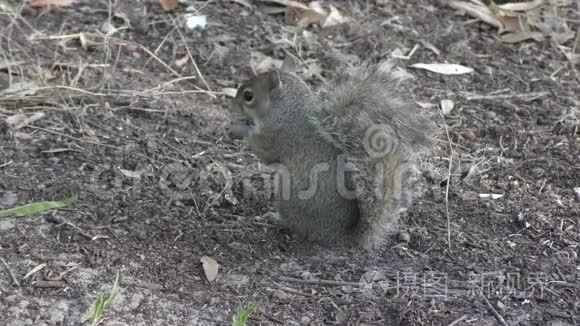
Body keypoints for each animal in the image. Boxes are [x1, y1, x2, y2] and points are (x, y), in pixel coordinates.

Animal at [227, 60, 436, 250]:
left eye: (248, 96)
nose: (232, 106)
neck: (288, 109)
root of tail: (339, 236)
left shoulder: (277, 137)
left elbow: (265, 153)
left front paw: (236, 128)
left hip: (289, 196)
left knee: (296, 226)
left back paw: (273, 218)